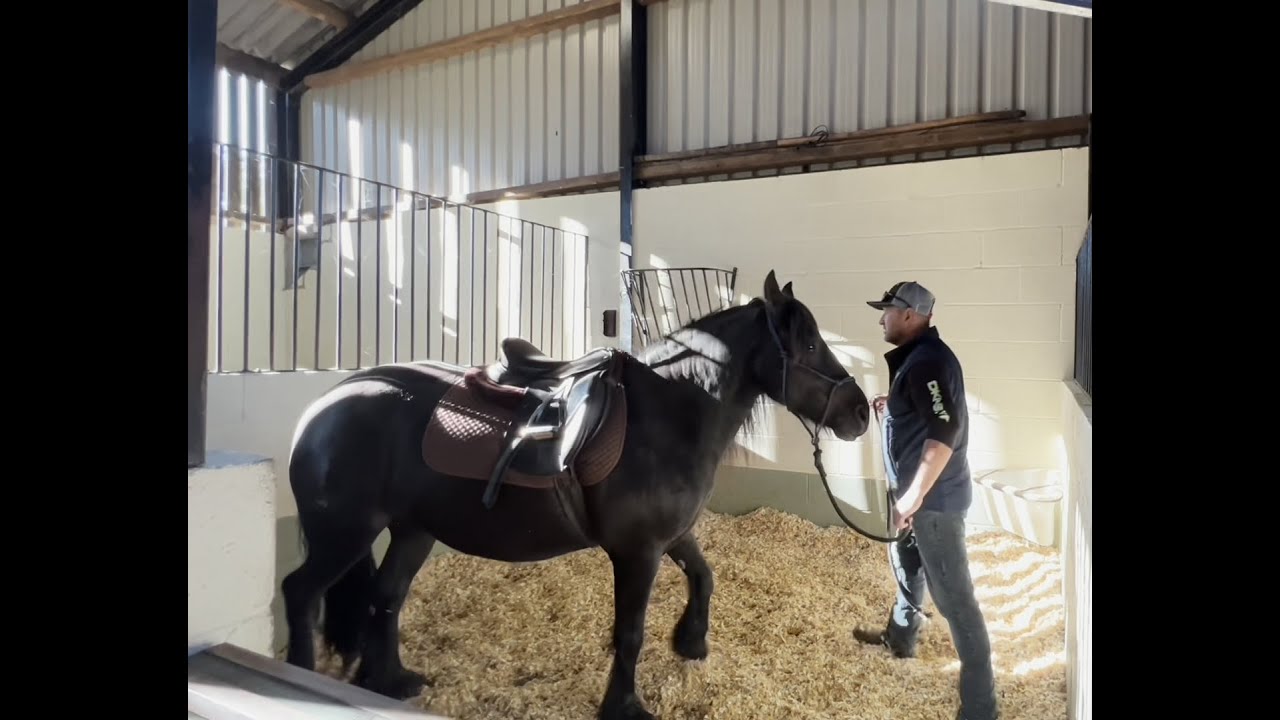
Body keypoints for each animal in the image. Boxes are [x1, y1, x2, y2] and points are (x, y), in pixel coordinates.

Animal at [281, 269, 872, 720]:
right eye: (811, 343)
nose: (861, 412)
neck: (670, 412)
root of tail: (326, 404)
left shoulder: (670, 536)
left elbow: (705, 577)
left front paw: (691, 642)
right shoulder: (638, 552)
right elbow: (629, 632)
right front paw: (625, 707)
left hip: (412, 531)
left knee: (386, 597)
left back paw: (390, 681)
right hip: (344, 534)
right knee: (300, 592)